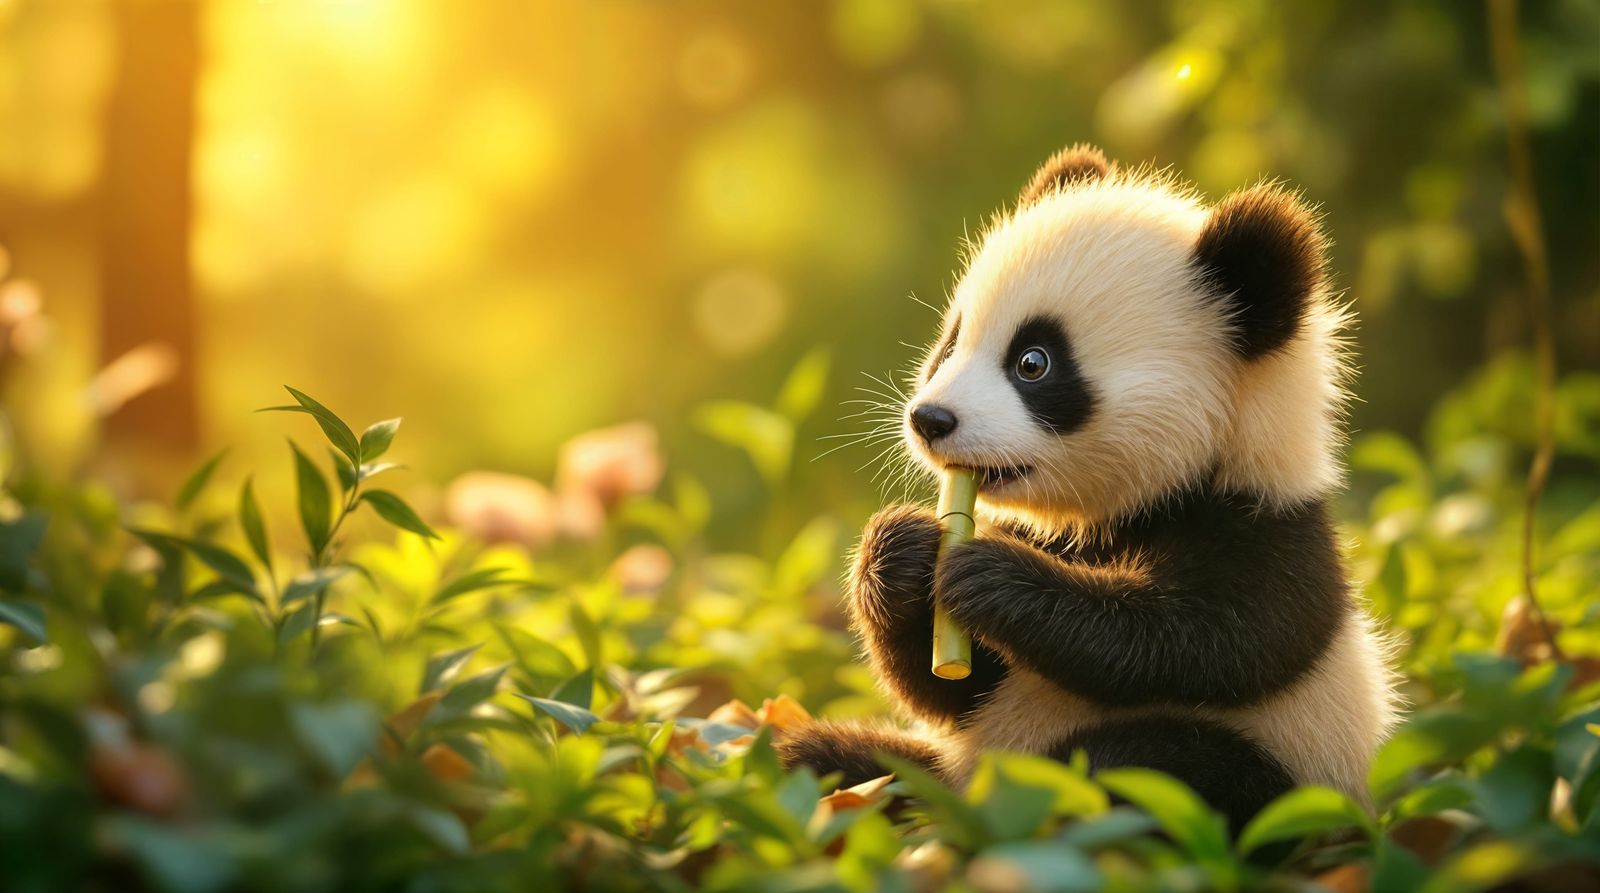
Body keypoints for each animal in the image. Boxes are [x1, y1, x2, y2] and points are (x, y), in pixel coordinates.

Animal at [779, 144, 1400, 829]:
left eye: (1033, 363)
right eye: (951, 342)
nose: (930, 420)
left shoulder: (1268, 532)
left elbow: (1200, 642)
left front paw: (991, 578)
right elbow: (956, 689)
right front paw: (901, 553)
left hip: (1285, 778)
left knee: (1162, 768)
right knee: (827, 761)